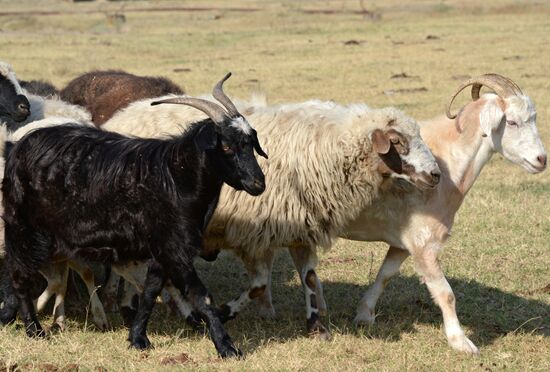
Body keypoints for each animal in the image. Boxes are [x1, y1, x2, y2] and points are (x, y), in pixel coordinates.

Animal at [0, 73, 268, 358]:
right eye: (226, 146)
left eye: (251, 143)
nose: (258, 183)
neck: (176, 176)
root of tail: (16, 147)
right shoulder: (176, 248)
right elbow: (201, 296)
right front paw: (227, 347)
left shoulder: (161, 250)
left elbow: (150, 292)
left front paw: (139, 338)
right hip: (24, 228)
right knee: (19, 275)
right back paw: (33, 329)